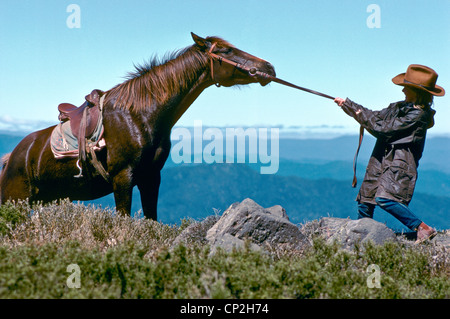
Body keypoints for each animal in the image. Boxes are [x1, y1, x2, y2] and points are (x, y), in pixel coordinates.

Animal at [0, 33, 276, 221]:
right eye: (227, 51)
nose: (268, 67)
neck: (139, 115)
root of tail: (14, 156)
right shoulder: (123, 178)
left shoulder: (151, 177)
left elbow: (151, 219)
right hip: (15, 200)